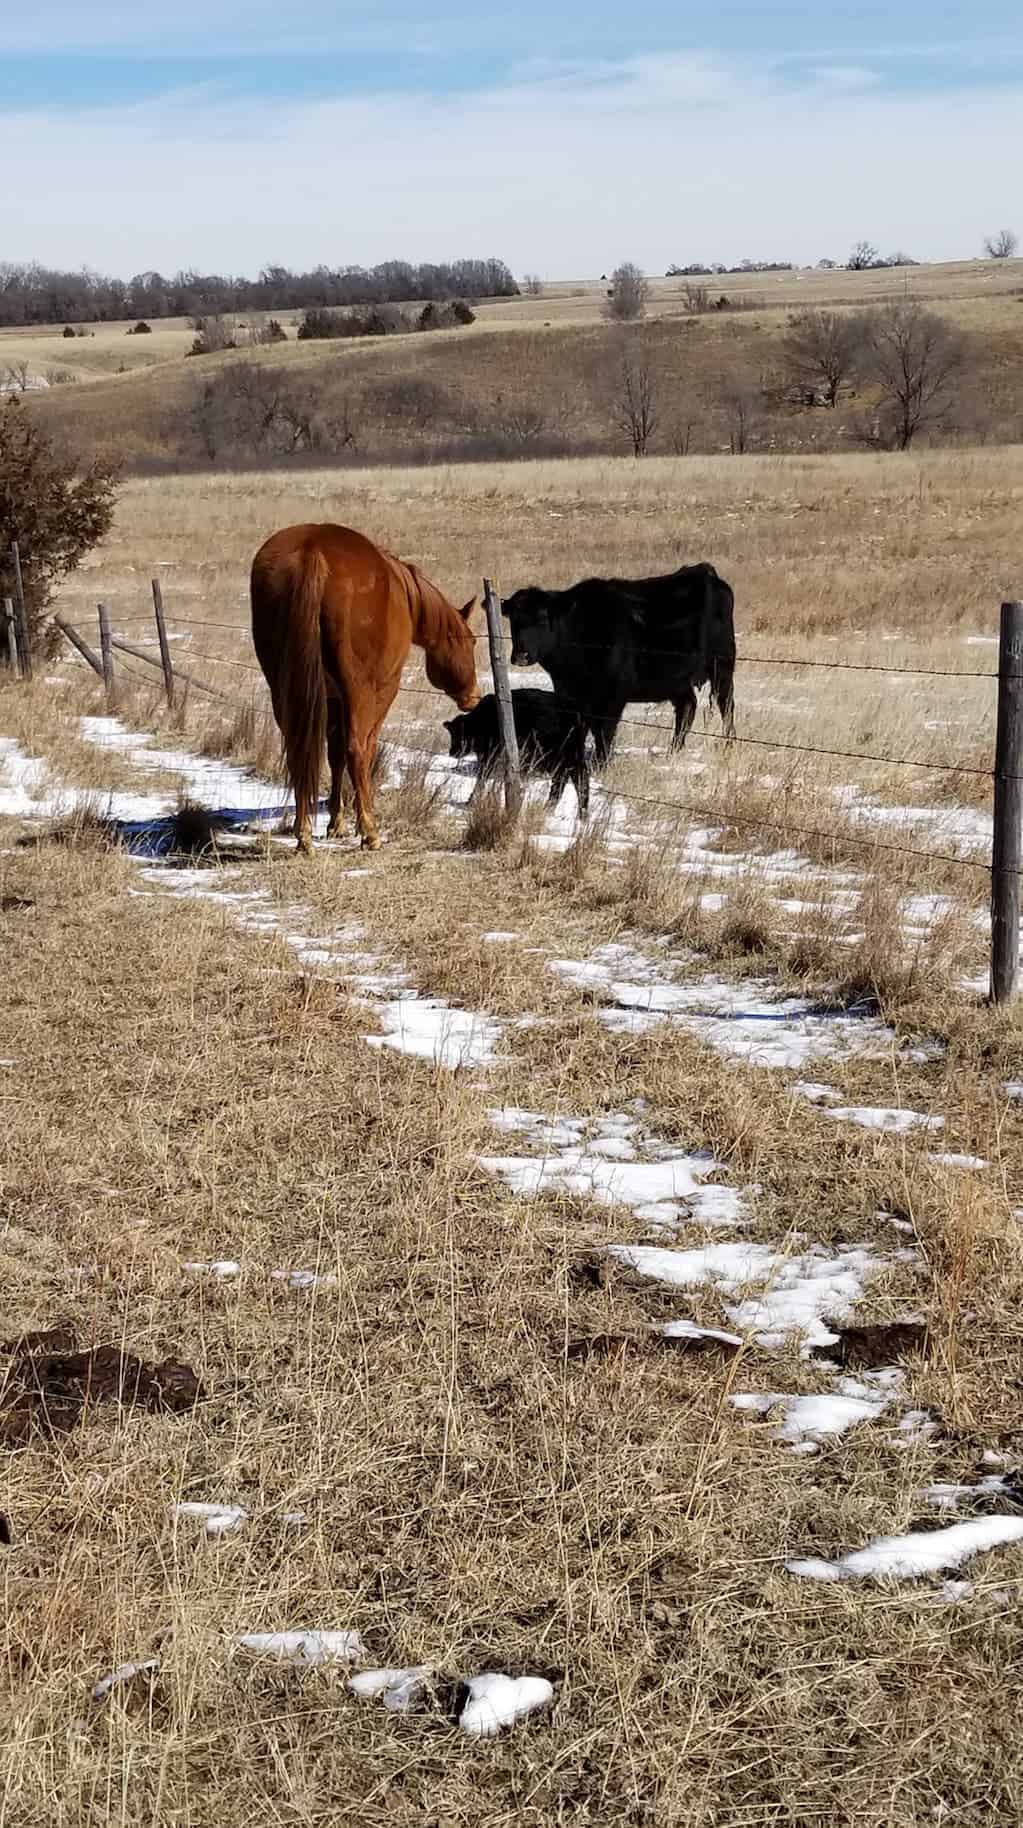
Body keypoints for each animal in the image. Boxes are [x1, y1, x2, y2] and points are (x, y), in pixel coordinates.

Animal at [253, 522, 482, 848]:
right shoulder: (381, 692)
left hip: (284, 690)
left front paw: (336, 822)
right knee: (357, 749)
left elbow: (334, 754)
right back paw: (370, 832)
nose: (474, 696)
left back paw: (304, 832)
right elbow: (363, 749)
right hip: (358, 692)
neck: (405, 595)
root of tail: (313, 551)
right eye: (471, 641)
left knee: (299, 751)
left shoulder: (331, 699)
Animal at [442, 687, 591, 815]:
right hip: (568, 754)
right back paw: (575, 813)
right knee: (573, 778)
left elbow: (483, 776)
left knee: (570, 778)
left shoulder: (490, 753)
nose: (452, 752)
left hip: (558, 753)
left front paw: (472, 800)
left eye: (458, 735)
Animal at [500, 555, 730, 756]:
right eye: (513, 620)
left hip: (722, 665)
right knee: (687, 706)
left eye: (542, 619)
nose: (521, 655)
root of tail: (704, 572)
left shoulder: (613, 696)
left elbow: (604, 732)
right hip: (676, 679)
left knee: (725, 705)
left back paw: (729, 744)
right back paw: (674, 751)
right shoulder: (572, 694)